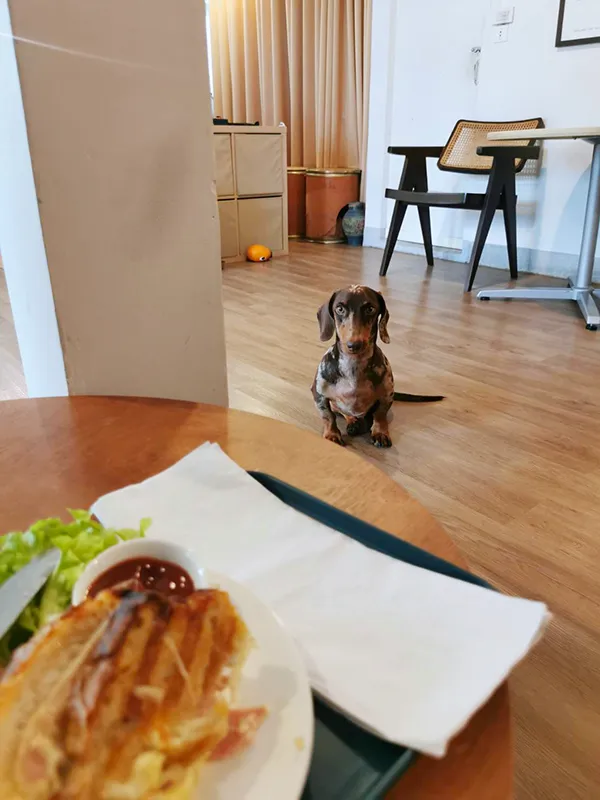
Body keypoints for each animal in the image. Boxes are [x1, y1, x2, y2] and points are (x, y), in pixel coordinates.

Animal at [312, 286, 442, 450]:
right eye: (339, 309)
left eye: (370, 309)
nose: (354, 345)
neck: (354, 365)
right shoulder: (319, 395)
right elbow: (328, 416)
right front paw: (332, 435)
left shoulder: (387, 395)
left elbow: (380, 415)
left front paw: (380, 433)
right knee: (343, 413)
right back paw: (353, 423)